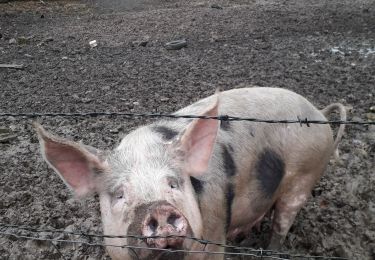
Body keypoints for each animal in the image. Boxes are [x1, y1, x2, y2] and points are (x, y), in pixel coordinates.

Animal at [35, 88, 346, 260]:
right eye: (120, 194)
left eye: (173, 184)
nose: (158, 210)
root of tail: (319, 113)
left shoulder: (213, 237)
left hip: (303, 179)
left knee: (281, 225)